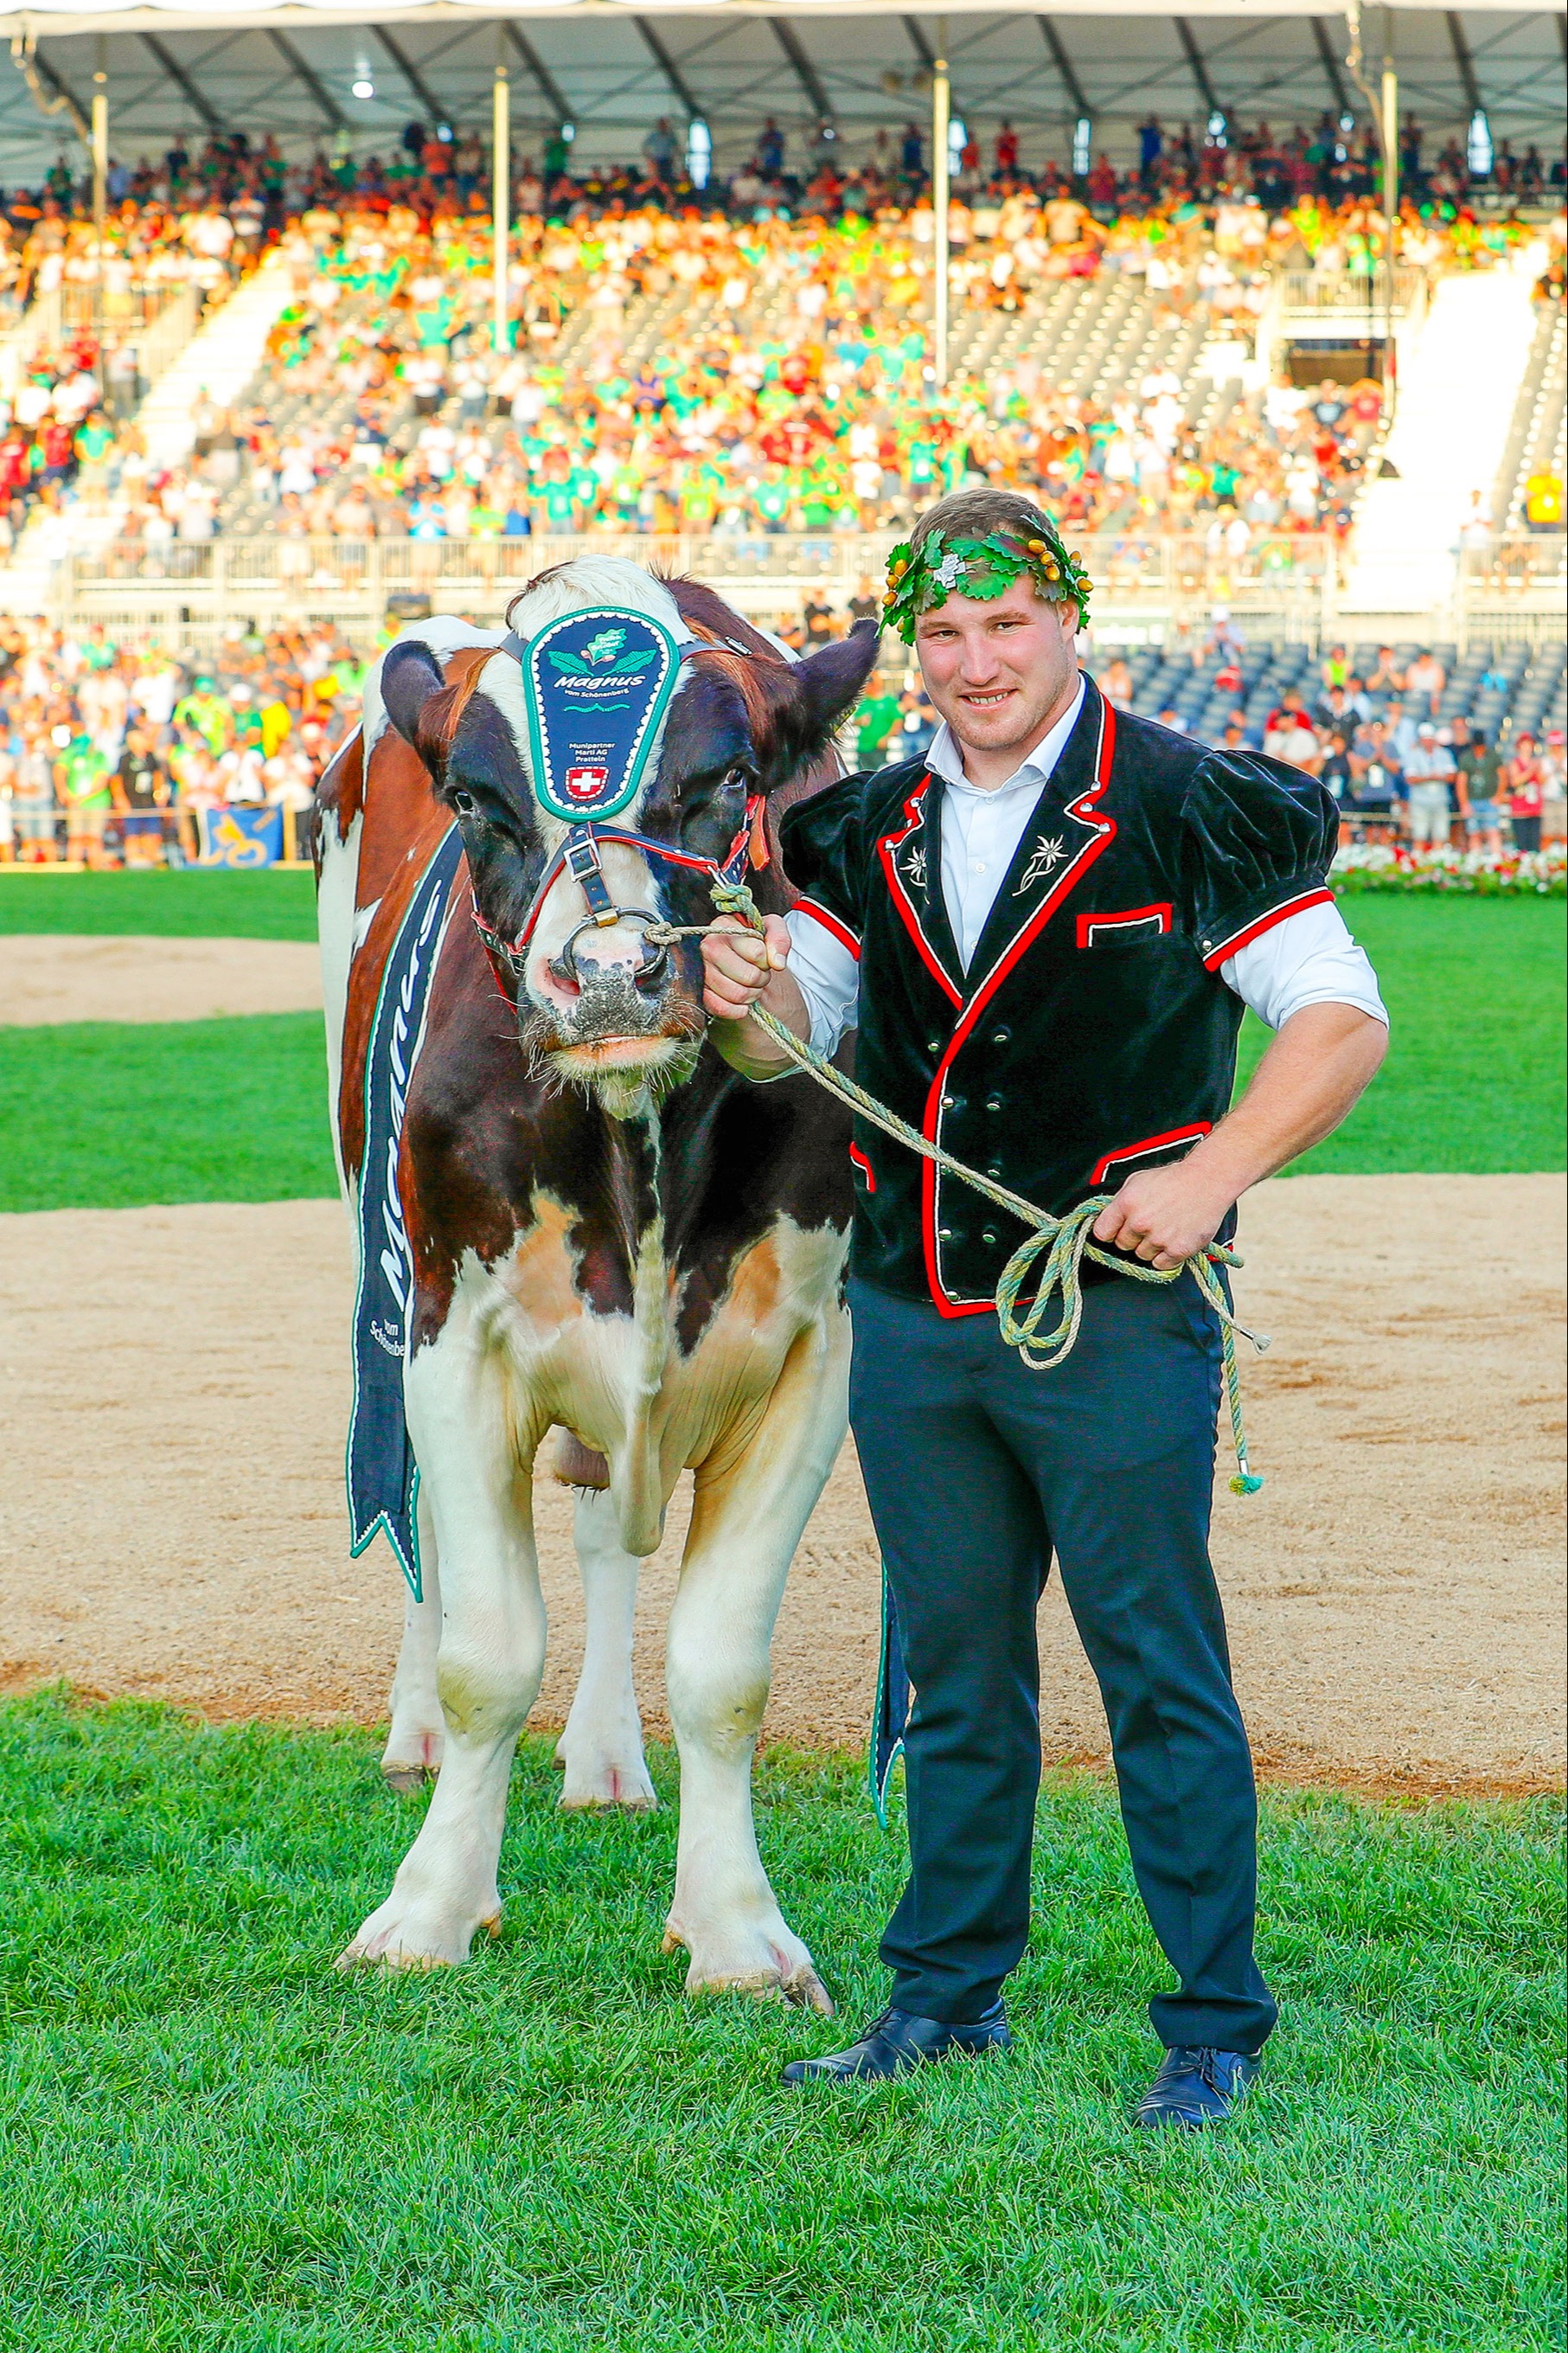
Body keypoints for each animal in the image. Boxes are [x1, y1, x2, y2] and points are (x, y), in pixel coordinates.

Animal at [315, 550, 884, 2004]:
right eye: (476, 799)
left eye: (731, 780)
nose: (612, 975)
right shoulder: (454, 1338)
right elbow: (488, 1654)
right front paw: (428, 1910)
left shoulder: (809, 1357)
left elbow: (722, 1671)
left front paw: (735, 1932)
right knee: (419, 1529)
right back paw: (412, 1734)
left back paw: (607, 1757)